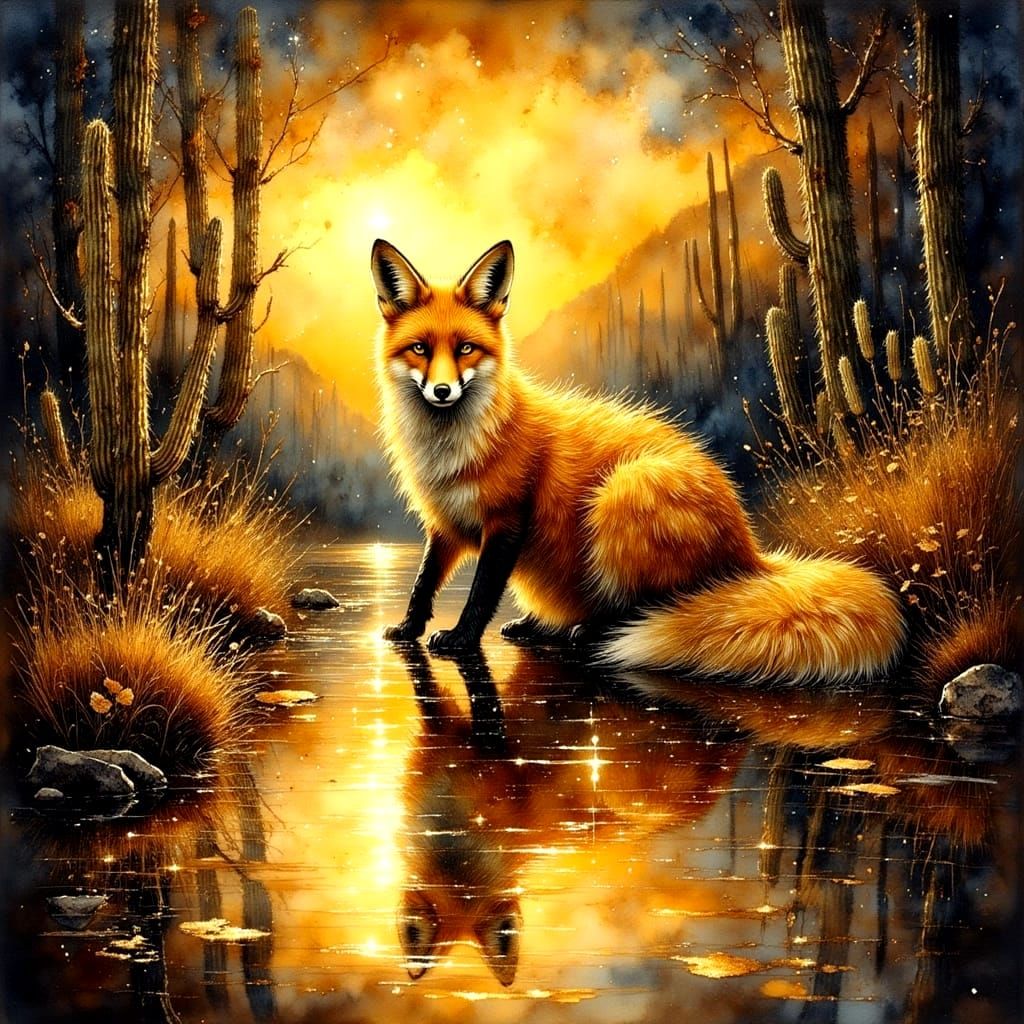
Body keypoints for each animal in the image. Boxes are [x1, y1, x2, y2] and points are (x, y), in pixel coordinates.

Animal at [372, 238, 905, 682]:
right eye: (420, 349)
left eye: (465, 348)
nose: (443, 391)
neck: (452, 449)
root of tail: (750, 552)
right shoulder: (445, 523)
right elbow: (423, 582)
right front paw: (407, 628)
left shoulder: (506, 521)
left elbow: (482, 592)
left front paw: (461, 638)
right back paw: (543, 625)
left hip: (622, 495)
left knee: (651, 608)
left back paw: (593, 631)